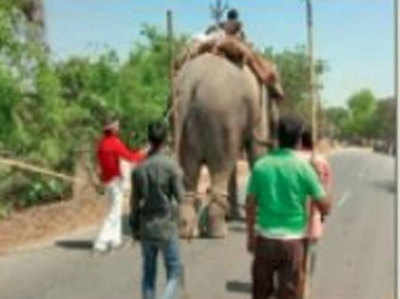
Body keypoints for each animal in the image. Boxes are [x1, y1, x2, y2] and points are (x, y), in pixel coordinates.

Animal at [173, 52, 282, 239]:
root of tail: (189, 81)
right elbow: (257, 152)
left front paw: (233, 216)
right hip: (221, 114)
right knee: (221, 166)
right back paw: (218, 232)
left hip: (182, 121)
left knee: (189, 170)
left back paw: (187, 230)